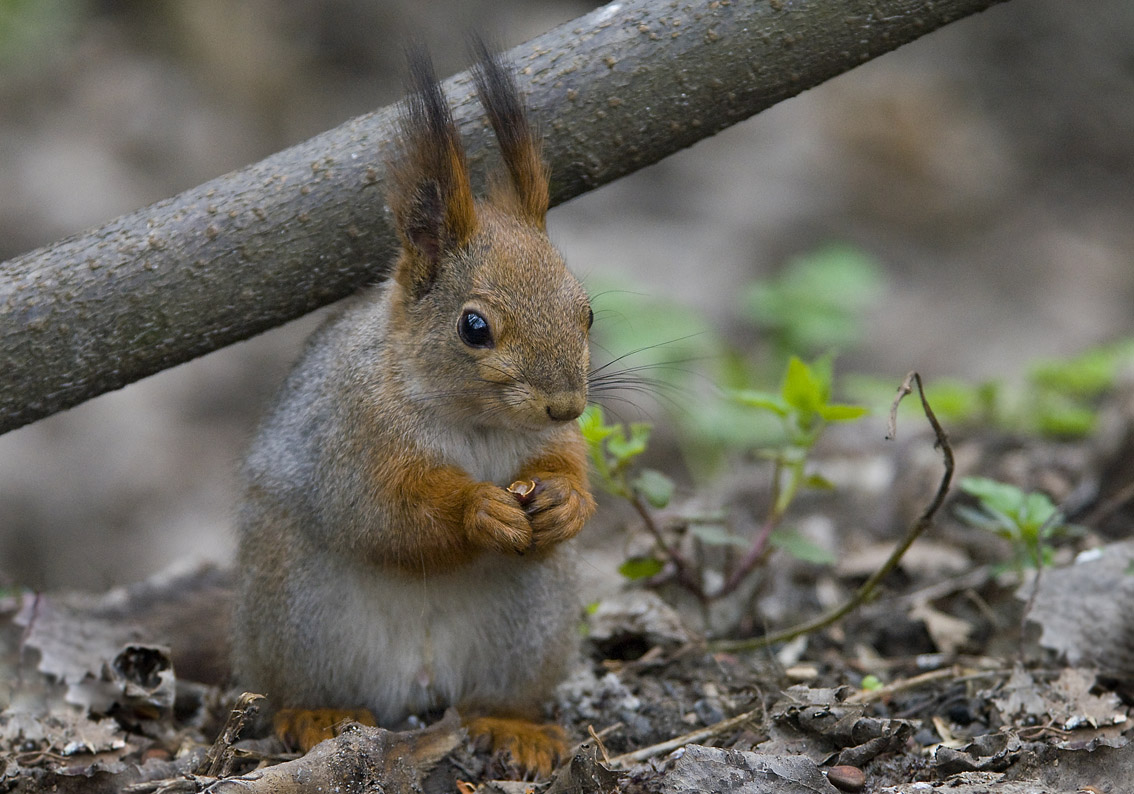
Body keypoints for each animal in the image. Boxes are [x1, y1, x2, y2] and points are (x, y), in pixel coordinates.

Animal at [234, 45, 598, 775]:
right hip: (298, 610)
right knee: (301, 687)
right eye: (474, 327)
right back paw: (318, 715)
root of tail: (420, 685)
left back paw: (515, 728)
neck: (477, 425)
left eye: (588, 313)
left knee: (498, 697)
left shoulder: (552, 445)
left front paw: (567, 503)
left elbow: (569, 470)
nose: (565, 405)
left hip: (531, 625)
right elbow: (384, 515)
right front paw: (478, 510)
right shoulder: (352, 439)